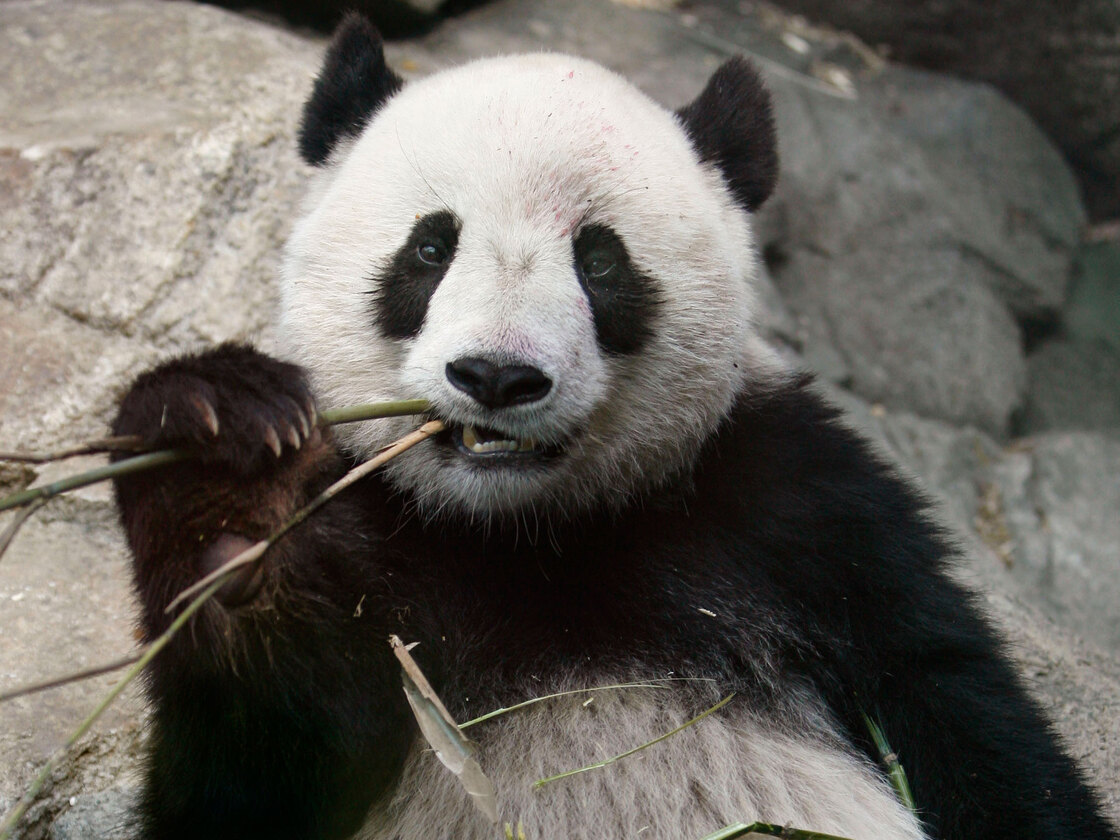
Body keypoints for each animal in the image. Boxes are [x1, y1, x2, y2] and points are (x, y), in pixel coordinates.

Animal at [111, 13, 1118, 840]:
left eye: (600, 262)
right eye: (430, 247)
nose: (498, 376)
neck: (526, 529)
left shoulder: (802, 514)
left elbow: (964, 723)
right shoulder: (377, 572)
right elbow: (246, 781)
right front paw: (226, 474)